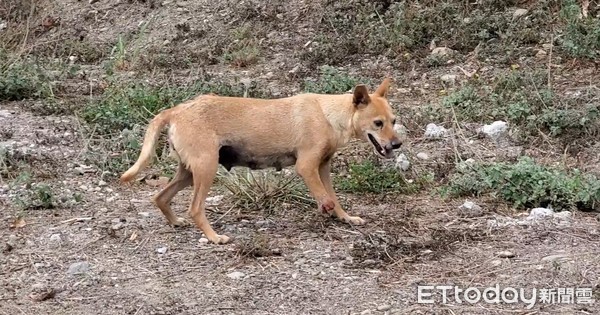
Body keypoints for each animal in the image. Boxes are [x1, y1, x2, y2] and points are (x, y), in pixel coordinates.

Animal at [120, 78, 404, 246]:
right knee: (195, 208)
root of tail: (176, 110)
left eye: (393, 121)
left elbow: (335, 199)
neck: (329, 114)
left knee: (160, 197)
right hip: (206, 169)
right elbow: (327, 199)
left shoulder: (323, 167)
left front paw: (345, 218)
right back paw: (214, 237)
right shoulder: (306, 167)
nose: (397, 144)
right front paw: (327, 211)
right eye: (377, 123)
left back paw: (176, 222)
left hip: (189, 173)